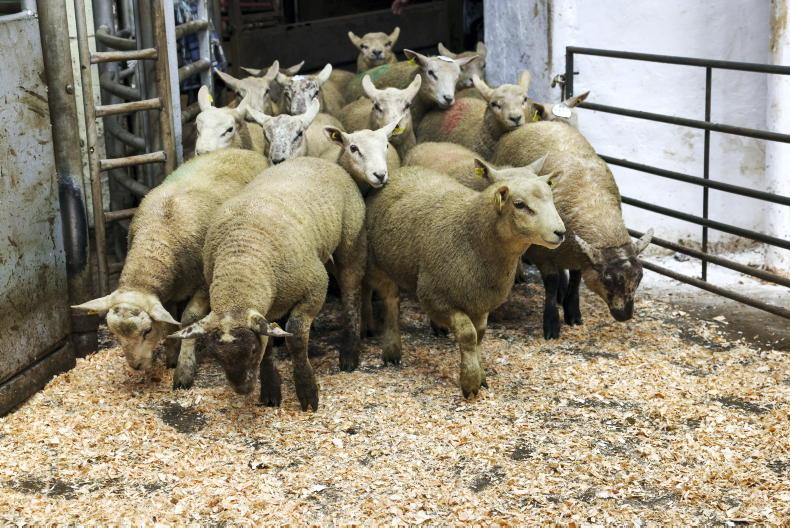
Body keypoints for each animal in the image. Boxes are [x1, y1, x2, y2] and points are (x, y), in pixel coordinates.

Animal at [72, 149, 269, 385]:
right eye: (114, 333)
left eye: (147, 331)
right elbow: (170, 322)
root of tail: (244, 151)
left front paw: (184, 367)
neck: (159, 237)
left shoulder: (205, 284)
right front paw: (172, 355)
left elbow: (189, 320)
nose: (135, 366)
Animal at [170, 156, 371, 410]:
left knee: (351, 290)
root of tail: (316, 159)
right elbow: (268, 343)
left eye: (252, 350)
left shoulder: (315, 286)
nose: (242, 389)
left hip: (351, 239)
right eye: (216, 356)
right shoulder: (264, 307)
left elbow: (296, 335)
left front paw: (307, 391)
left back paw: (349, 353)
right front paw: (270, 390)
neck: (242, 261)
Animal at [364, 166, 565, 398]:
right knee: (390, 301)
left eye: (551, 197)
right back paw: (392, 350)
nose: (561, 232)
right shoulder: (436, 298)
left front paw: (481, 375)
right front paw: (470, 382)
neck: (472, 238)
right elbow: (468, 335)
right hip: (377, 264)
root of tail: (402, 170)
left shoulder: (480, 301)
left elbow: (480, 335)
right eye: (519, 204)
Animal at [492, 121, 653, 339]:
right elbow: (551, 284)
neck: (594, 206)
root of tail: (539, 123)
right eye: (607, 279)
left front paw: (572, 311)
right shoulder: (542, 253)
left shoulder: (575, 252)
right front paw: (552, 324)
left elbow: (576, 279)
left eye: (639, 277)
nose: (625, 316)